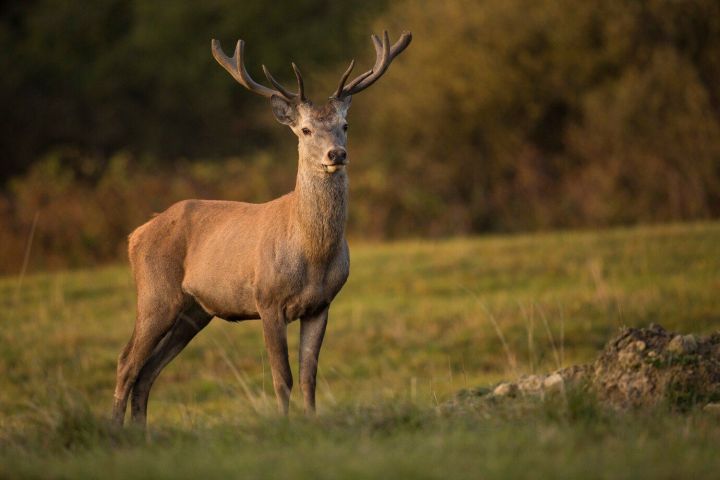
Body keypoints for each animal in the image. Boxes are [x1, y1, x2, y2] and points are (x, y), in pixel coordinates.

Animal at [112, 31, 410, 428]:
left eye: (345, 126)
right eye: (305, 129)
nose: (336, 154)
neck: (312, 255)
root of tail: (135, 234)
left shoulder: (321, 304)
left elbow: (309, 375)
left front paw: (312, 420)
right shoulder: (267, 299)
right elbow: (282, 376)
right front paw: (283, 424)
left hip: (194, 310)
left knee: (147, 371)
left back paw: (140, 432)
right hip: (155, 294)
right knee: (127, 361)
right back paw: (115, 429)